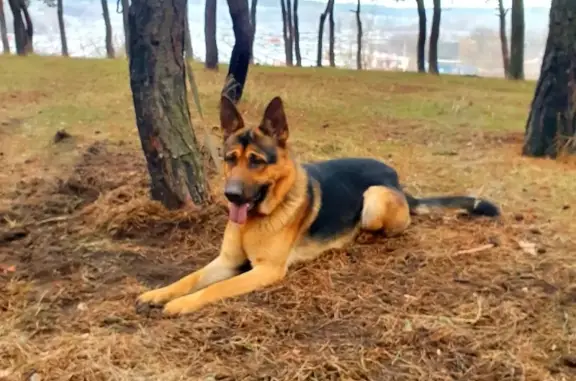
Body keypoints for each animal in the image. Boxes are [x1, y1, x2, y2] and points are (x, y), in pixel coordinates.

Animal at [136, 96, 500, 316]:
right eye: (229, 159)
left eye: (256, 161)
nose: (232, 196)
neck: (260, 216)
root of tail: (397, 181)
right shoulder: (226, 261)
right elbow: (191, 278)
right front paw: (160, 293)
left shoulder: (265, 270)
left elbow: (215, 289)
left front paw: (181, 305)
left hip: (373, 199)